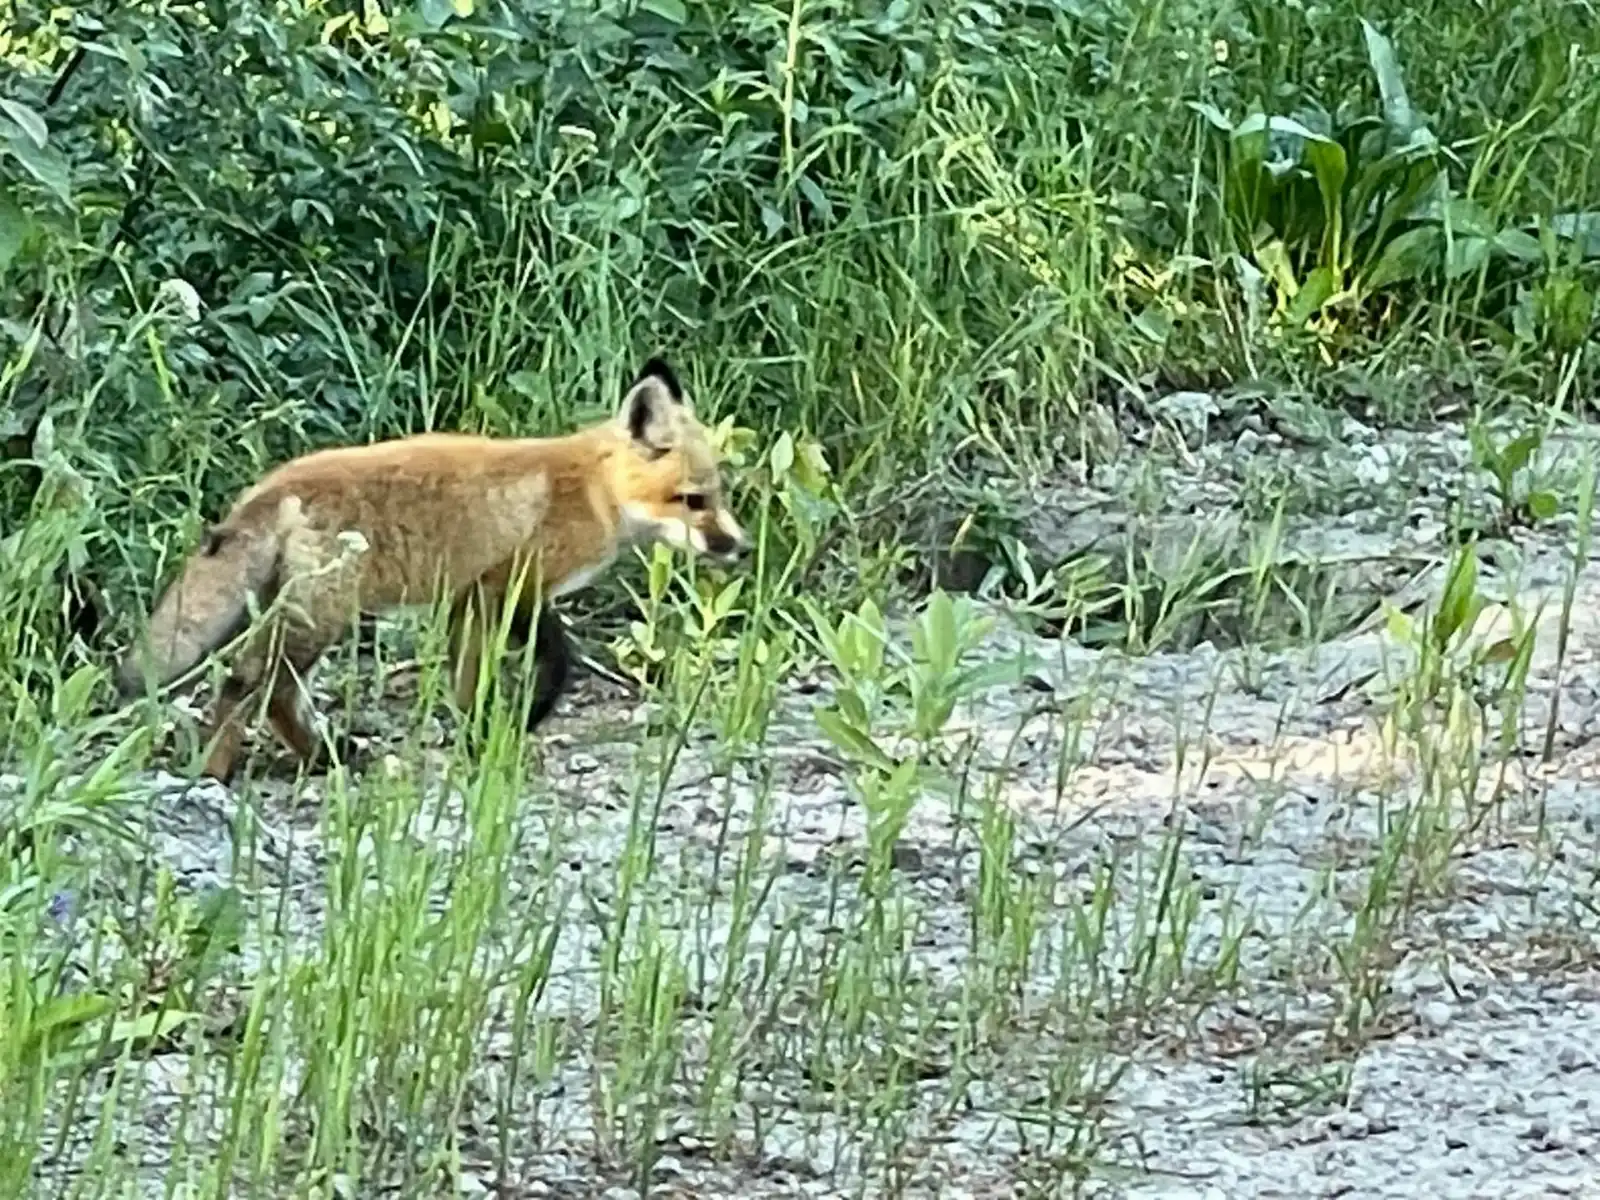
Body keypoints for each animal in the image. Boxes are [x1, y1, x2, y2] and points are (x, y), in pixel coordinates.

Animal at [115, 357, 749, 783]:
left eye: (719, 495)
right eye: (694, 500)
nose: (740, 548)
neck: (593, 492)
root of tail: (271, 485)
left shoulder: (469, 600)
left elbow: (468, 682)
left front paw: (480, 739)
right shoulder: (509, 584)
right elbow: (557, 660)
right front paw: (527, 716)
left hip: (308, 612)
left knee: (274, 692)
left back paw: (318, 757)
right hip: (321, 615)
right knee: (247, 682)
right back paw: (215, 770)